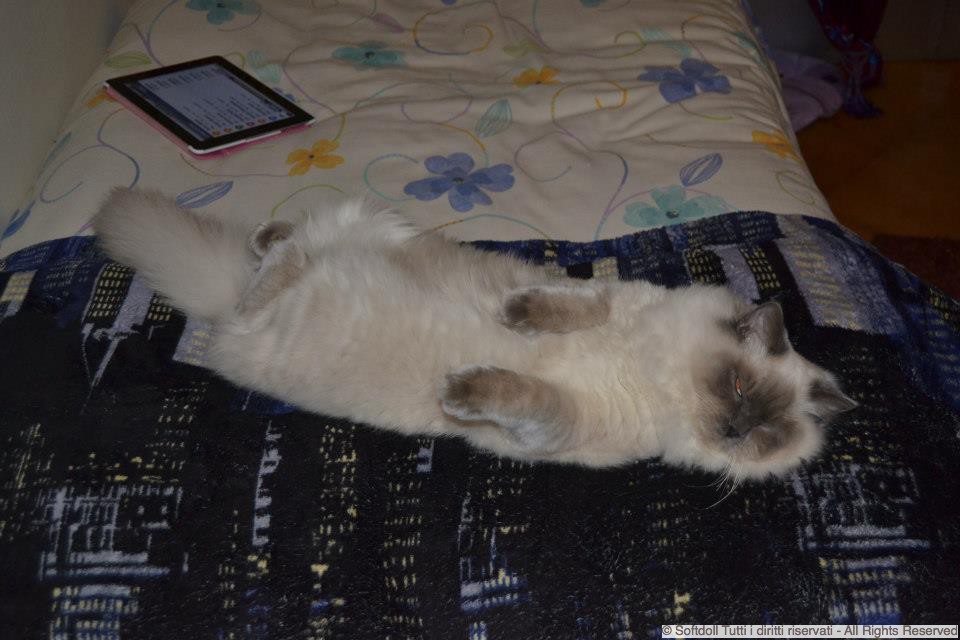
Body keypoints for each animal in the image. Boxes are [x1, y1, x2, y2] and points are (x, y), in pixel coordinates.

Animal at [93, 188, 856, 480]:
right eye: (738, 386)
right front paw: (514, 317)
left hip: (281, 300)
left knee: (278, 265)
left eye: (766, 431)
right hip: (375, 229)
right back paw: (271, 247)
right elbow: (571, 302)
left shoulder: (562, 425)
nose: (732, 432)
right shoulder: (610, 298)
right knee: (288, 247)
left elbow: (524, 395)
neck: (656, 375)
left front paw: (461, 389)